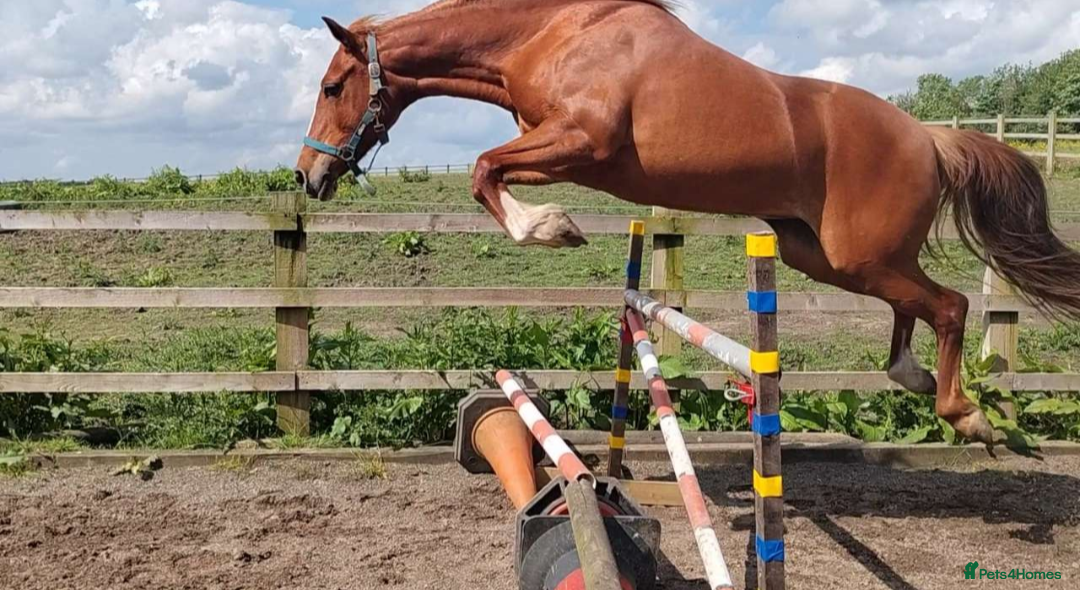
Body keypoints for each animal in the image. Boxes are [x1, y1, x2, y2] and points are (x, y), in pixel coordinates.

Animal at [295, 0, 1080, 445]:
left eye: (333, 87)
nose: (309, 176)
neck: (551, 34)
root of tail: (929, 137)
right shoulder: (558, 147)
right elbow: (488, 170)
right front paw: (551, 224)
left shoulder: (579, 142)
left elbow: (485, 169)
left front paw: (552, 227)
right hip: (826, 256)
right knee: (913, 306)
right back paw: (912, 376)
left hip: (860, 255)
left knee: (949, 305)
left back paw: (967, 414)